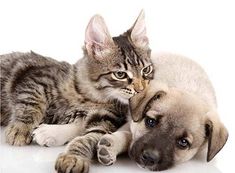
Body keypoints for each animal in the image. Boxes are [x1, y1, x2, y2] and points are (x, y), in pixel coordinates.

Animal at [0, 10, 153, 172]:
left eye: (146, 70)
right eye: (120, 74)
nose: (141, 89)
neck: (91, 95)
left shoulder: (106, 119)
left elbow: (87, 137)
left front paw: (73, 157)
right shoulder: (36, 78)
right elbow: (31, 103)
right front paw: (21, 129)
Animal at [96, 53, 229, 172]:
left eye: (183, 142)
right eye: (150, 121)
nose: (149, 158)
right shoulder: (131, 121)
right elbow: (129, 135)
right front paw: (113, 144)